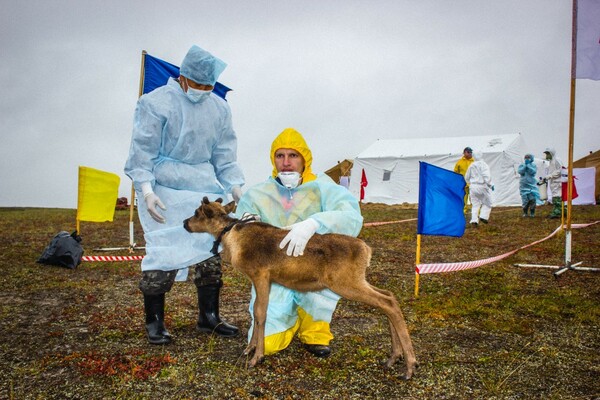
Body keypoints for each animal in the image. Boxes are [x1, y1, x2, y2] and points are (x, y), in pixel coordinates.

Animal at [183, 198, 418, 380]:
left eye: (196, 213)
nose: (184, 222)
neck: (231, 239)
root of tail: (367, 250)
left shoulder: (261, 274)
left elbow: (260, 313)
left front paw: (257, 356)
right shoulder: (260, 279)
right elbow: (255, 313)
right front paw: (249, 348)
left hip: (345, 282)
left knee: (387, 302)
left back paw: (410, 364)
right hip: (357, 279)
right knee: (389, 296)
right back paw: (395, 356)